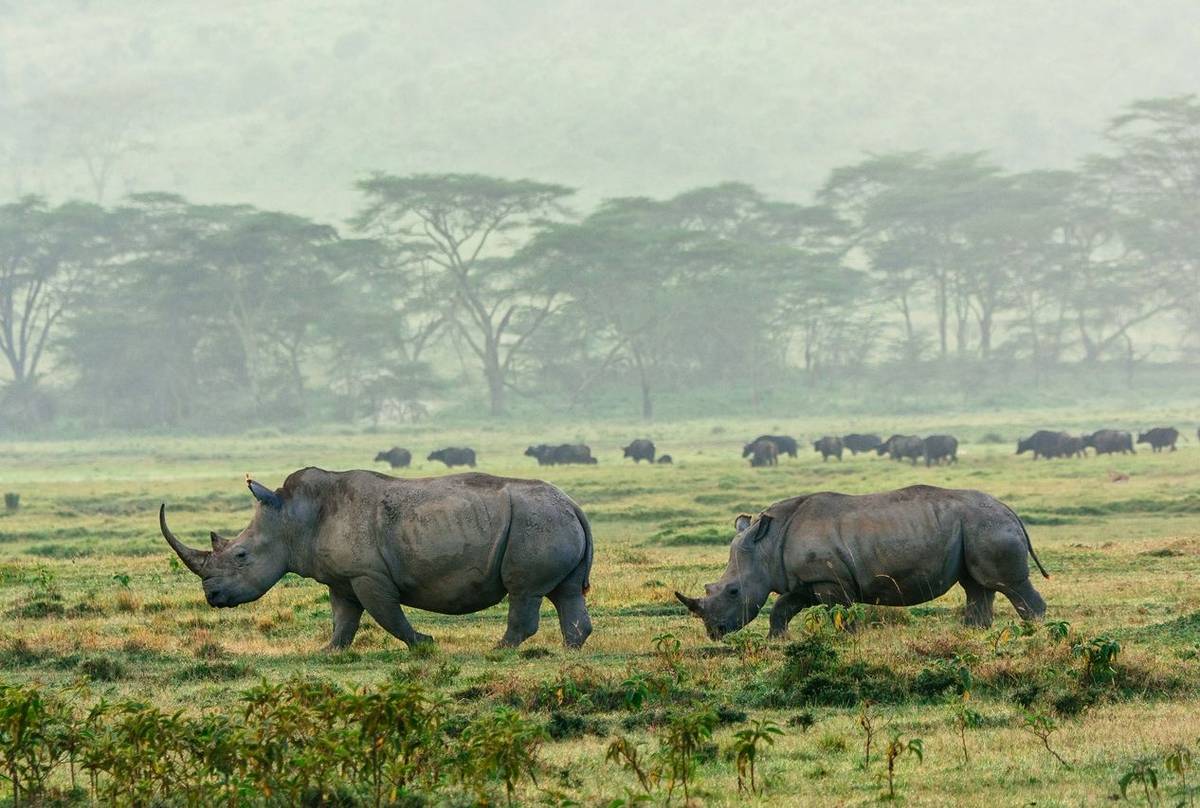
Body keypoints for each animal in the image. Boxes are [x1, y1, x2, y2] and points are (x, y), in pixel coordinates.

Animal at [164, 473, 595, 648]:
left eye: (241, 555)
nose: (212, 597)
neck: (291, 517)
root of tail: (573, 504)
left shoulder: (367, 573)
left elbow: (387, 614)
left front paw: (424, 643)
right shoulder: (340, 578)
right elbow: (344, 619)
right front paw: (328, 652)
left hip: (536, 521)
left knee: (525, 592)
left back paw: (499, 649)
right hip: (549, 518)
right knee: (567, 591)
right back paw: (571, 647)